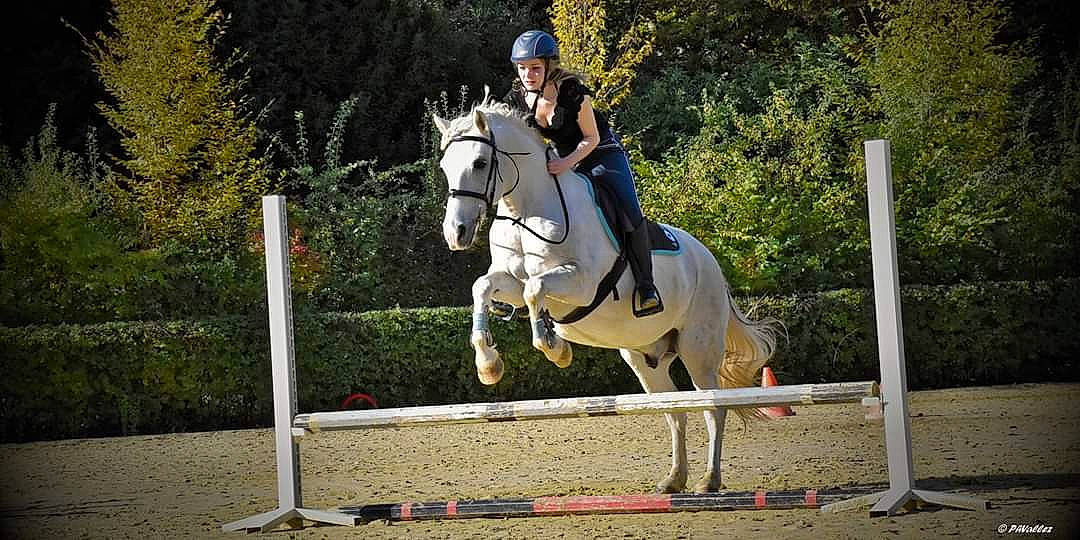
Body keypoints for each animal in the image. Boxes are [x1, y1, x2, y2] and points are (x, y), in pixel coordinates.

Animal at [432, 95, 780, 494]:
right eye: (445, 166)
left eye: (479, 162)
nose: (456, 233)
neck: (527, 212)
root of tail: (710, 262)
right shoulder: (512, 283)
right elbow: (484, 287)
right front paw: (489, 365)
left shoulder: (581, 284)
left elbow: (537, 290)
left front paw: (556, 348)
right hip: (645, 358)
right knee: (675, 412)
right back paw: (673, 480)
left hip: (699, 350)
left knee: (712, 407)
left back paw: (709, 480)